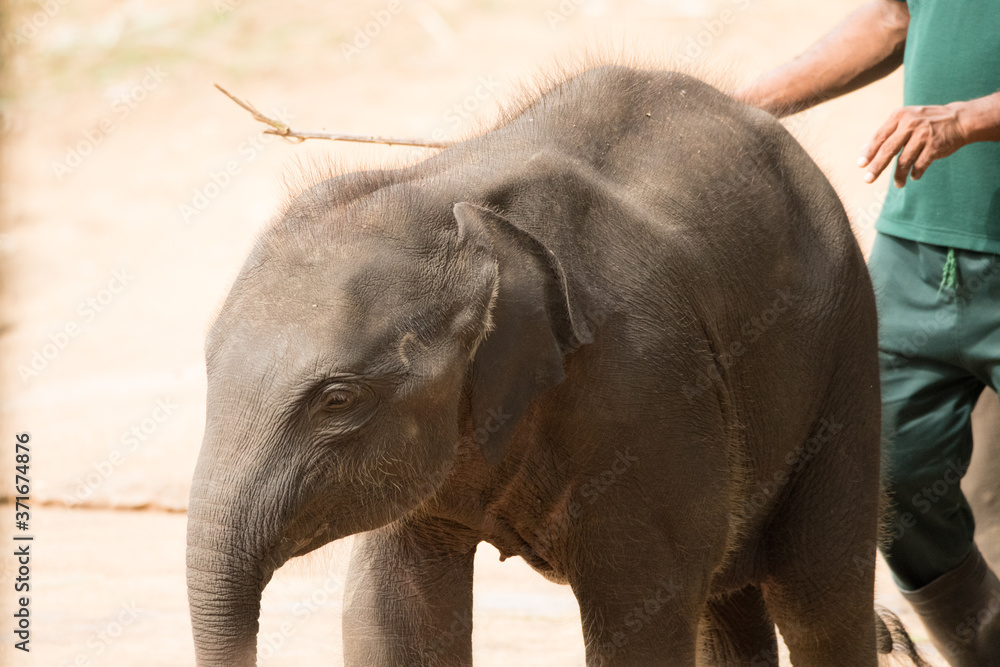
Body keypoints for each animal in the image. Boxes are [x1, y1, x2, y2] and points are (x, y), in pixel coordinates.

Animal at [186, 64, 926, 666]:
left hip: (844, 350)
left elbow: (640, 620)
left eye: (338, 399)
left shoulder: (645, 391)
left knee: (818, 596)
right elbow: (392, 611)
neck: (448, 201)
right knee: (729, 603)